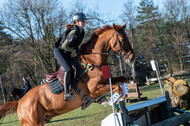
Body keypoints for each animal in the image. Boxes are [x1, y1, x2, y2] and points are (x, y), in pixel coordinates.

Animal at [0, 23, 134, 125]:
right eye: (122, 40)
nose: (132, 58)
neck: (92, 62)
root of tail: (20, 101)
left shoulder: (106, 81)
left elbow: (123, 79)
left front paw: (123, 95)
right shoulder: (94, 89)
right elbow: (117, 87)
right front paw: (112, 100)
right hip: (33, 122)